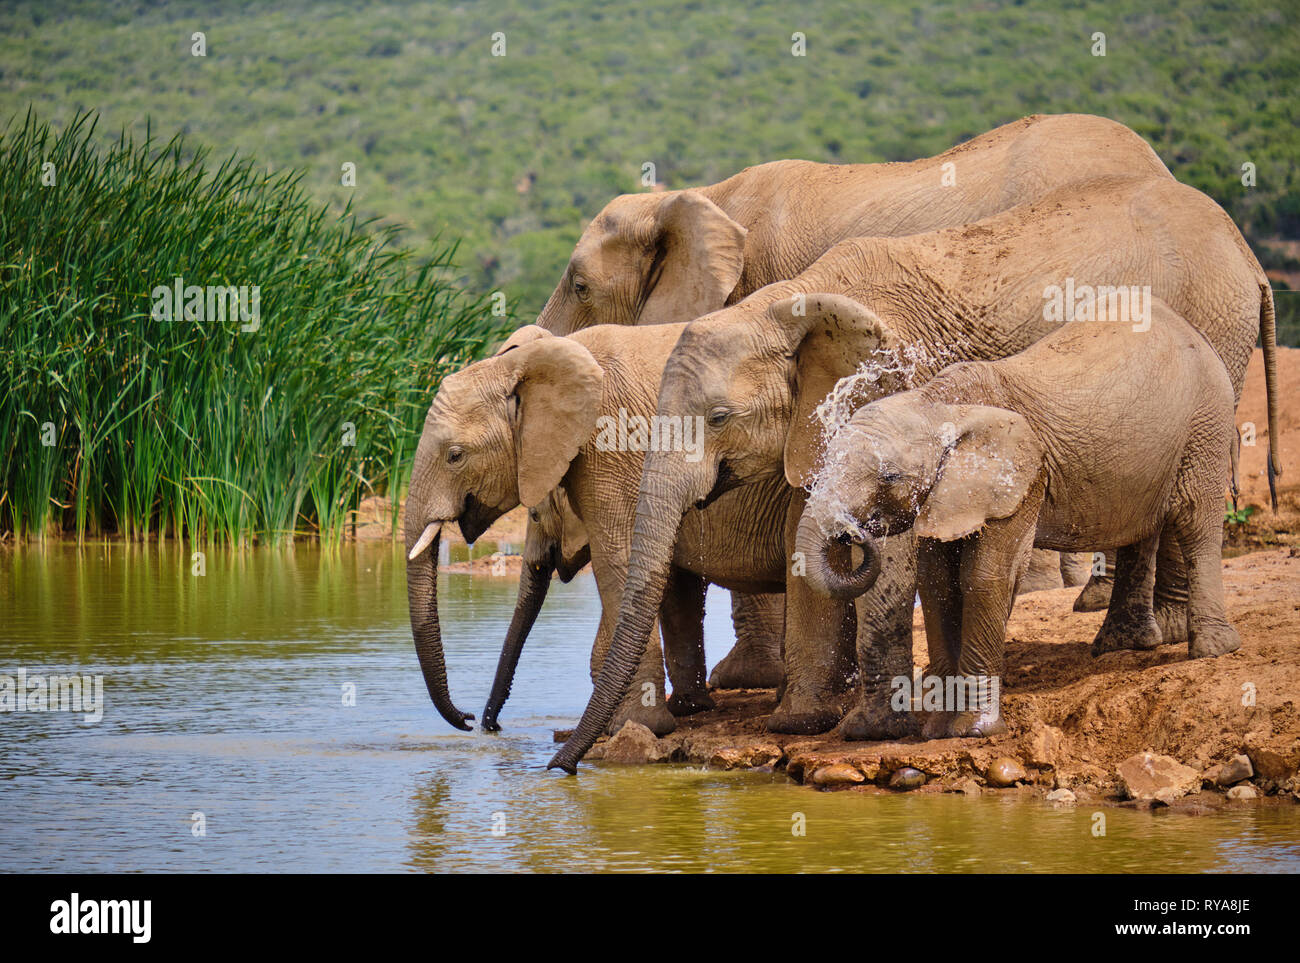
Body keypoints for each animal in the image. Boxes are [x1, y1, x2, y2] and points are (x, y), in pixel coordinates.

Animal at [404, 322, 794, 737]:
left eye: (455, 456)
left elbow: (616, 560)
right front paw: (684, 711)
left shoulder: (610, 445)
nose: (476, 721)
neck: (527, 363)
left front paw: (636, 726)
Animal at [795, 301, 1239, 738]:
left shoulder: (1021, 480)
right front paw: (937, 729)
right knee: (1139, 531)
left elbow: (986, 577)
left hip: (1207, 422)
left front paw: (974, 730)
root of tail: (1189, 330)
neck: (938, 403)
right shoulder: (945, 493)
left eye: (889, 476)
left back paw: (1214, 649)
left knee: (1196, 522)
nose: (856, 533)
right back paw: (1121, 646)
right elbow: (938, 584)